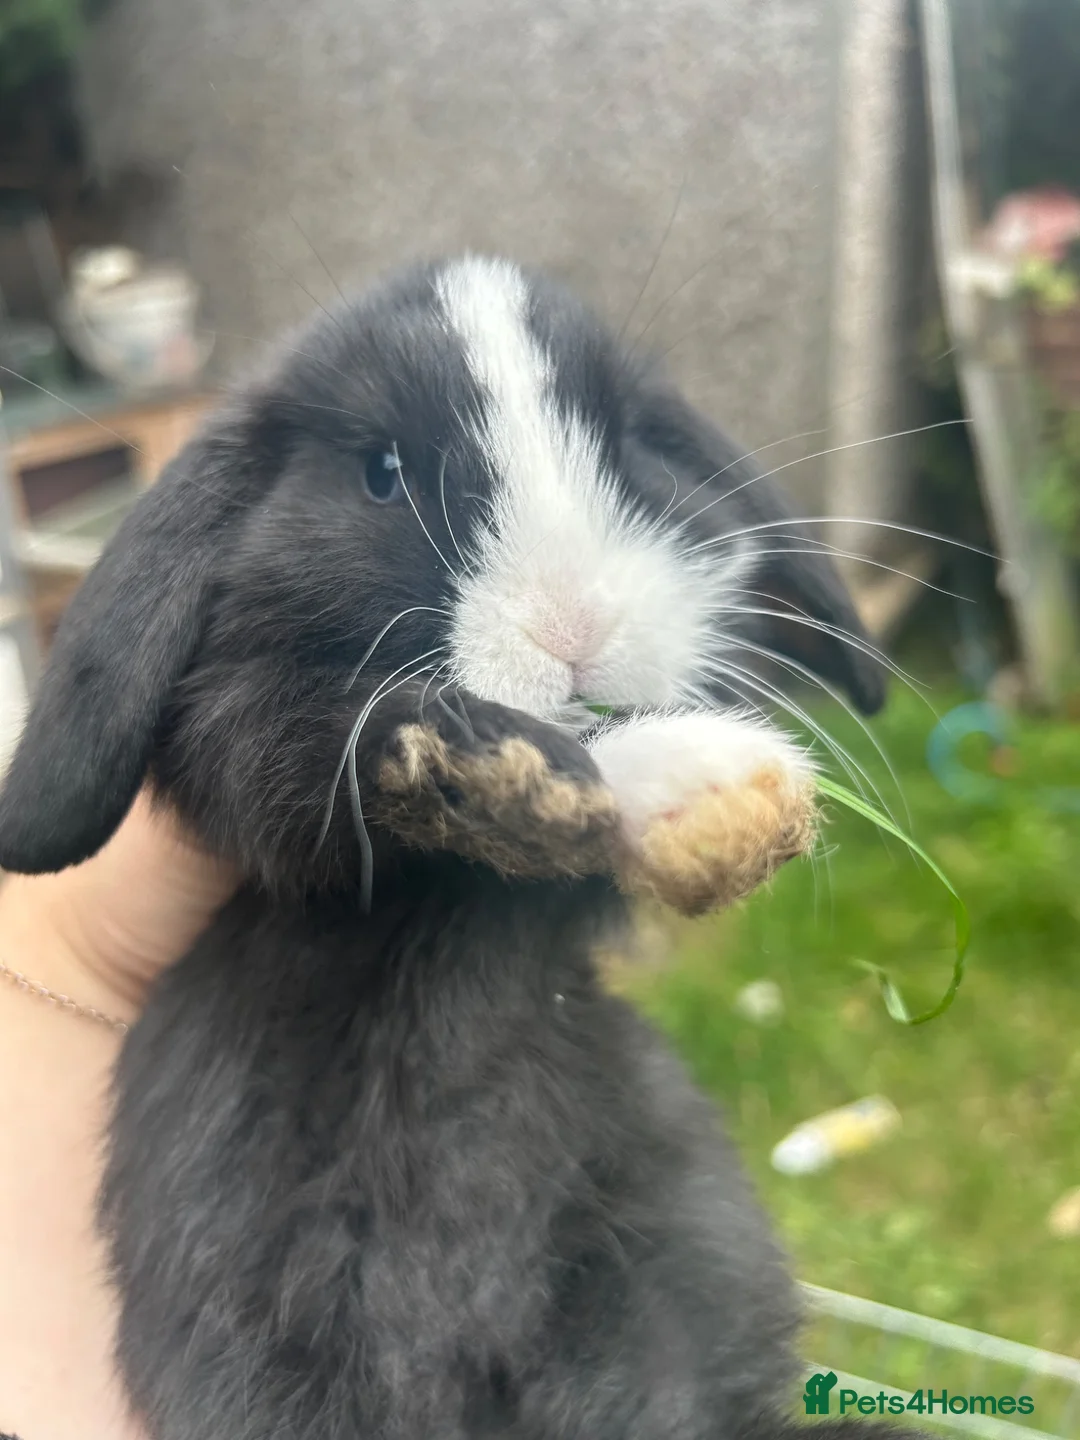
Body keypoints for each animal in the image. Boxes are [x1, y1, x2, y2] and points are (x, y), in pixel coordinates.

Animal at [0, 255, 911, 1440]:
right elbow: (370, 736)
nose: (575, 629)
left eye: (627, 444)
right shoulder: (262, 746)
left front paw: (723, 798)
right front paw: (641, 772)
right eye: (383, 473)